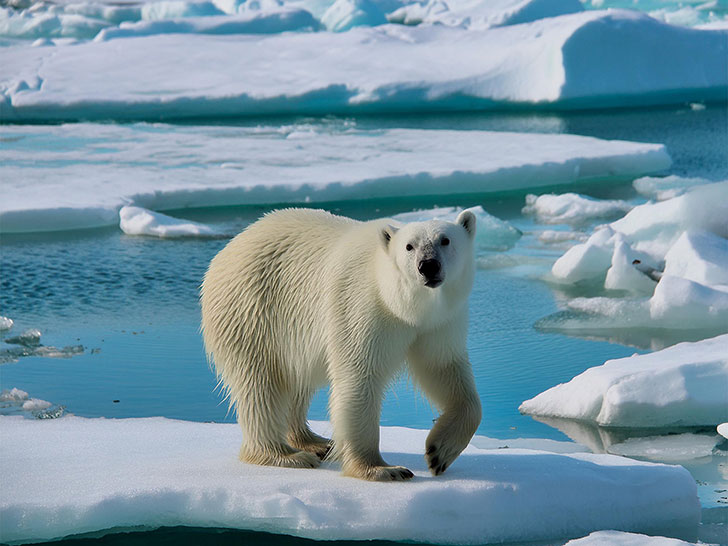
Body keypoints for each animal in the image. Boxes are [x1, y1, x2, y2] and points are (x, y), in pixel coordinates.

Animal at [200, 206, 484, 478]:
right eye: (408, 246)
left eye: (445, 240)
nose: (428, 265)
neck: (400, 302)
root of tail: (228, 249)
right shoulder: (362, 306)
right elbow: (360, 377)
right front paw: (381, 469)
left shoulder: (439, 323)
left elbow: (442, 368)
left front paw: (439, 452)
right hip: (251, 311)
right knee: (260, 384)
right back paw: (285, 455)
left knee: (296, 381)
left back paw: (314, 442)